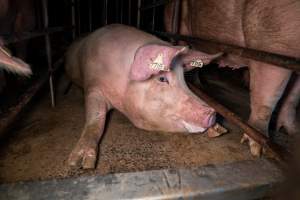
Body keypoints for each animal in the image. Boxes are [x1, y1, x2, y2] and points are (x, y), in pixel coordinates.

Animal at [64, 24, 221, 170]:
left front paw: (219, 131)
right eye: (162, 79)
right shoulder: (93, 87)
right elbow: (96, 118)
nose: (212, 113)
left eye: (184, 79)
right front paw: (80, 164)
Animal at [165, 0, 298, 156]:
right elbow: (268, 97)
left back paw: (201, 87)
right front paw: (257, 150)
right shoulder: (271, 41)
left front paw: (293, 132)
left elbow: (293, 97)